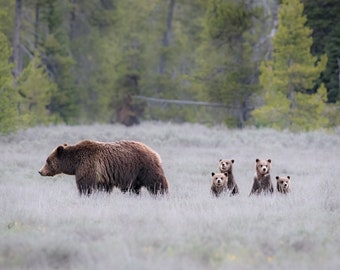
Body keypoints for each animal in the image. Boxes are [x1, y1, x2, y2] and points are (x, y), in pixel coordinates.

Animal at [38, 139, 169, 196]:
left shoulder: (88, 165)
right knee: (133, 188)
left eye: (47, 160)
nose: (40, 171)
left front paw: (85, 195)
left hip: (144, 167)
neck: (75, 162)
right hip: (133, 176)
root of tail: (153, 152)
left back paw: (162, 194)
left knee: (156, 182)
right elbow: (103, 188)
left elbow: (86, 185)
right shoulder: (103, 175)